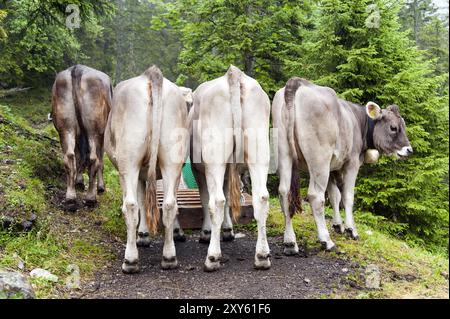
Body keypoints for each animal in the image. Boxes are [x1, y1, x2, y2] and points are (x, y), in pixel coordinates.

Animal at [51, 64, 112, 210]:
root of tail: (77, 69)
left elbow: (79, 156)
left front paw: (79, 181)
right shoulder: (102, 136)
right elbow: (101, 161)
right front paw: (101, 187)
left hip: (66, 127)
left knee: (69, 157)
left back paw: (70, 198)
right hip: (94, 130)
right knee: (94, 159)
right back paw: (91, 198)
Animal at [105, 66, 190, 274]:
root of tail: (152, 75)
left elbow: (141, 201)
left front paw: (142, 235)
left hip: (128, 161)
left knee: (130, 205)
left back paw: (130, 260)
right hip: (172, 160)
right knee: (169, 204)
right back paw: (169, 257)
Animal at [190, 65, 270, 272]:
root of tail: (234, 75)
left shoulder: (198, 169)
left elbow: (206, 199)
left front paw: (206, 233)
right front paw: (227, 230)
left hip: (214, 156)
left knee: (216, 201)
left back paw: (212, 258)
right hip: (259, 149)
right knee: (261, 198)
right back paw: (262, 256)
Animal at [272, 77, 414, 255]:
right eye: (393, 127)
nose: (409, 150)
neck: (358, 121)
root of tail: (297, 83)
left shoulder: (333, 167)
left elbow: (334, 196)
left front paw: (338, 225)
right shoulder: (351, 163)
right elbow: (347, 196)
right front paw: (351, 230)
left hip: (284, 153)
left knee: (284, 192)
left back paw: (290, 242)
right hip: (319, 159)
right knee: (315, 196)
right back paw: (326, 241)